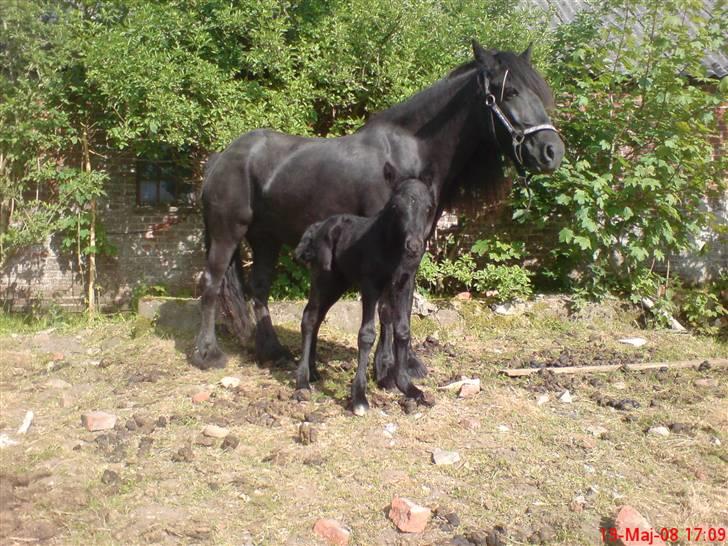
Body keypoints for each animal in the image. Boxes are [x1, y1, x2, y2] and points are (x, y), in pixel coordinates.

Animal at [191, 40, 564, 387]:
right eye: (510, 91)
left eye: (539, 93)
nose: (553, 152)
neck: (408, 156)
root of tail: (222, 157)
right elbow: (386, 309)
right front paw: (385, 370)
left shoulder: (414, 247)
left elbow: (405, 304)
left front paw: (407, 365)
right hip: (228, 233)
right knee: (211, 283)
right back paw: (208, 354)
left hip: (266, 238)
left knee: (259, 287)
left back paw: (272, 351)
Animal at [294, 171, 437, 415]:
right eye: (395, 206)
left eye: (428, 207)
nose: (414, 246)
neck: (390, 247)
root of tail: (318, 227)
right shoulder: (371, 286)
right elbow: (367, 335)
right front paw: (359, 397)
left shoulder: (403, 284)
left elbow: (402, 330)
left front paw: (407, 386)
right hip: (324, 279)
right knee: (309, 318)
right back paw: (302, 381)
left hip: (338, 284)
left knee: (318, 318)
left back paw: (313, 371)